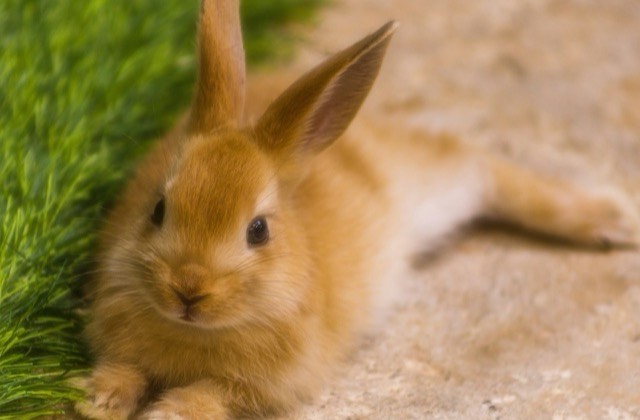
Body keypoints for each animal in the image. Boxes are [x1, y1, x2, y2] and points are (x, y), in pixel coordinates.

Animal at [75, 0, 640, 419]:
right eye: (157, 209)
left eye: (257, 230)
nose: (188, 290)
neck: (197, 329)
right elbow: (125, 370)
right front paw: (97, 398)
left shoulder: (267, 383)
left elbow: (210, 394)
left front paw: (165, 411)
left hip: (429, 189)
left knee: (478, 164)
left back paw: (612, 220)